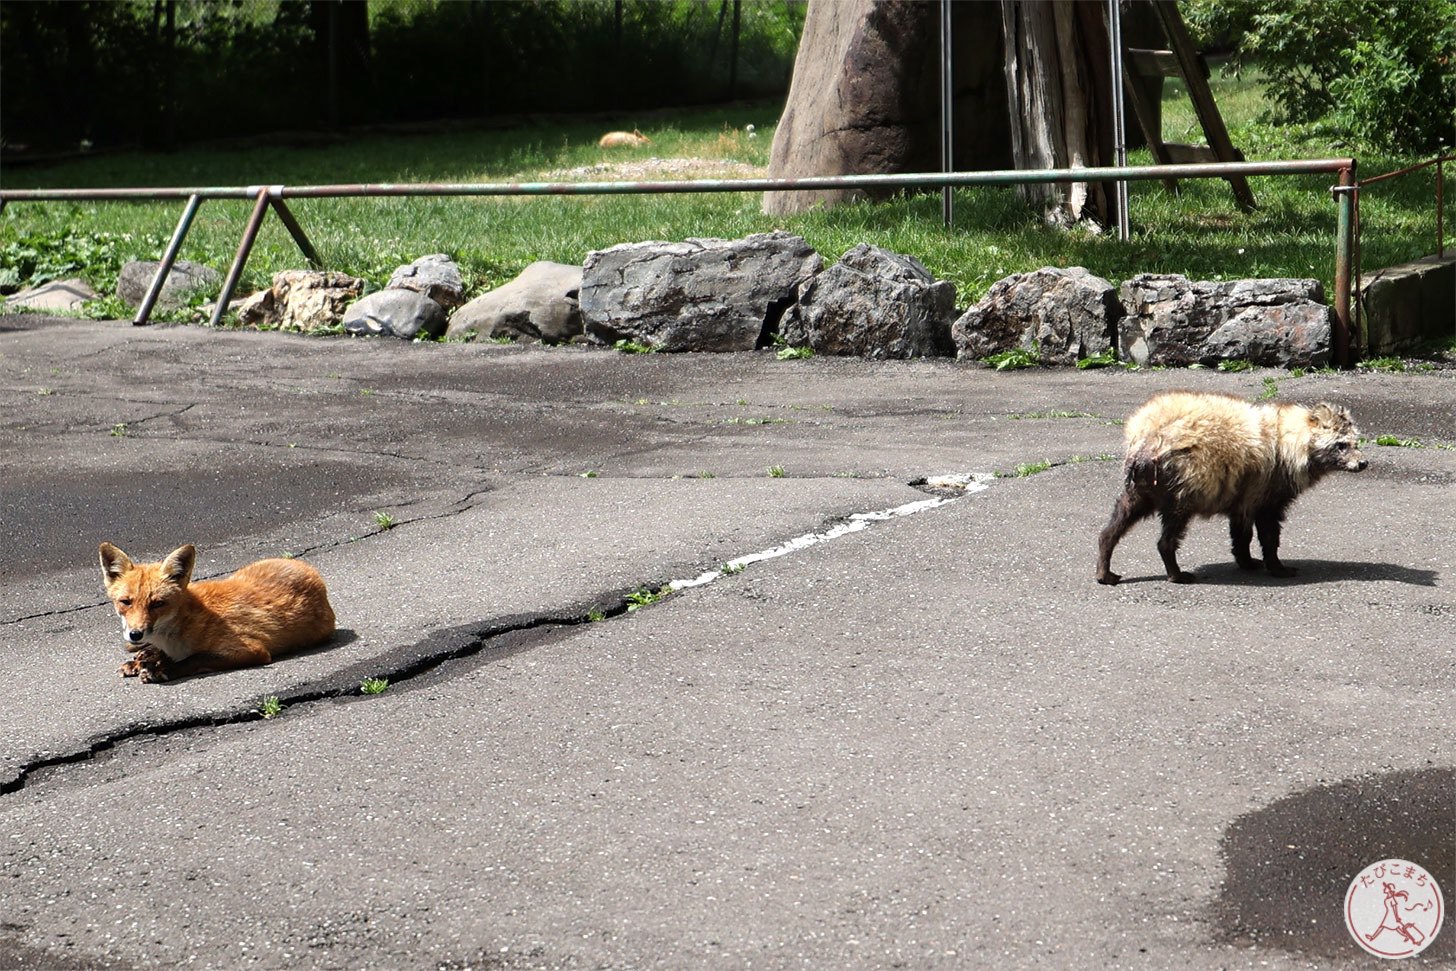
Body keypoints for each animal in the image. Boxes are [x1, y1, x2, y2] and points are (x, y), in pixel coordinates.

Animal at [97, 544, 334, 687]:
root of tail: (309, 569)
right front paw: (148, 660)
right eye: (126, 602)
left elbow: (196, 658)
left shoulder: (252, 650)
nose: (135, 634)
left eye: (157, 604)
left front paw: (164, 669)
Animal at [1094, 393, 1368, 585]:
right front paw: (1277, 565)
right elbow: (1269, 530)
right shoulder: (1269, 484)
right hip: (1183, 480)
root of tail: (1146, 438)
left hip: (1143, 487)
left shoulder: (1244, 487)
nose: (1363, 463)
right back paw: (1175, 570)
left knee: (1119, 519)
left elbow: (1241, 529)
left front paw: (1246, 559)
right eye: (1341, 445)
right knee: (1172, 528)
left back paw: (1105, 564)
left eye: (1356, 442)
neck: (1289, 439)